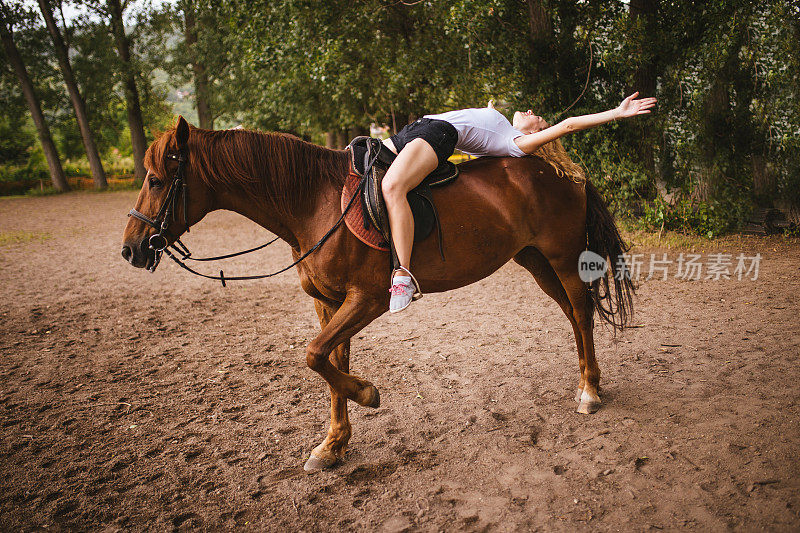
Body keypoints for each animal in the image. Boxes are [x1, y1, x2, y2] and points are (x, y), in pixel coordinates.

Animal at [120, 116, 632, 470]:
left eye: (156, 180)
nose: (131, 249)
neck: (314, 201)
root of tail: (563, 167)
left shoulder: (365, 300)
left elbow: (313, 356)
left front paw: (368, 394)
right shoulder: (328, 303)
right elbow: (330, 365)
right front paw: (332, 446)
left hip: (562, 256)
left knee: (581, 312)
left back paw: (589, 390)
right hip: (534, 260)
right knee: (574, 315)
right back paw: (588, 381)